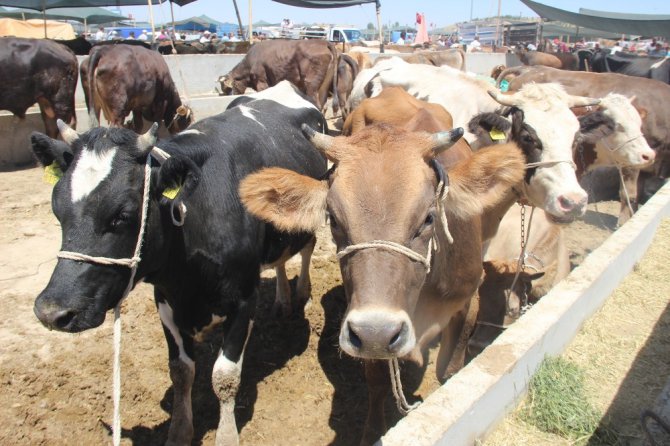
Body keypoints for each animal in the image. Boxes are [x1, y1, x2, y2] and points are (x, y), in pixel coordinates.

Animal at [30, 81, 330, 446]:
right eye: (56, 208)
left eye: (123, 214)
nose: (51, 312)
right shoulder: (166, 299)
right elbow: (181, 370)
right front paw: (179, 431)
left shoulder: (244, 298)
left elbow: (225, 376)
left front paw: (226, 436)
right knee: (280, 259)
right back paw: (283, 300)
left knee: (307, 248)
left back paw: (301, 294)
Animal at [242, 123, 532, 444]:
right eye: (334, 220)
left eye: (429, 218)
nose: (376, 332)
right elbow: (378, 383)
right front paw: (372, 432)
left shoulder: (467, 299)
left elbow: (450, 369)